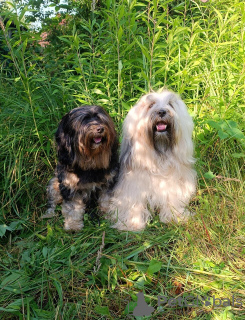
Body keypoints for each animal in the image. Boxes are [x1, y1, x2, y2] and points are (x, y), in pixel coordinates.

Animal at [108, 89, 196, 230]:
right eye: (151, 105)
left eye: (170, 104)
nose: (162, 112)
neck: (159, 156)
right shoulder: (134, 186)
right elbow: (134, 204)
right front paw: (132, 223)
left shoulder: (173, 185)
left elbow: (172, 199)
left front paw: (175, 217)